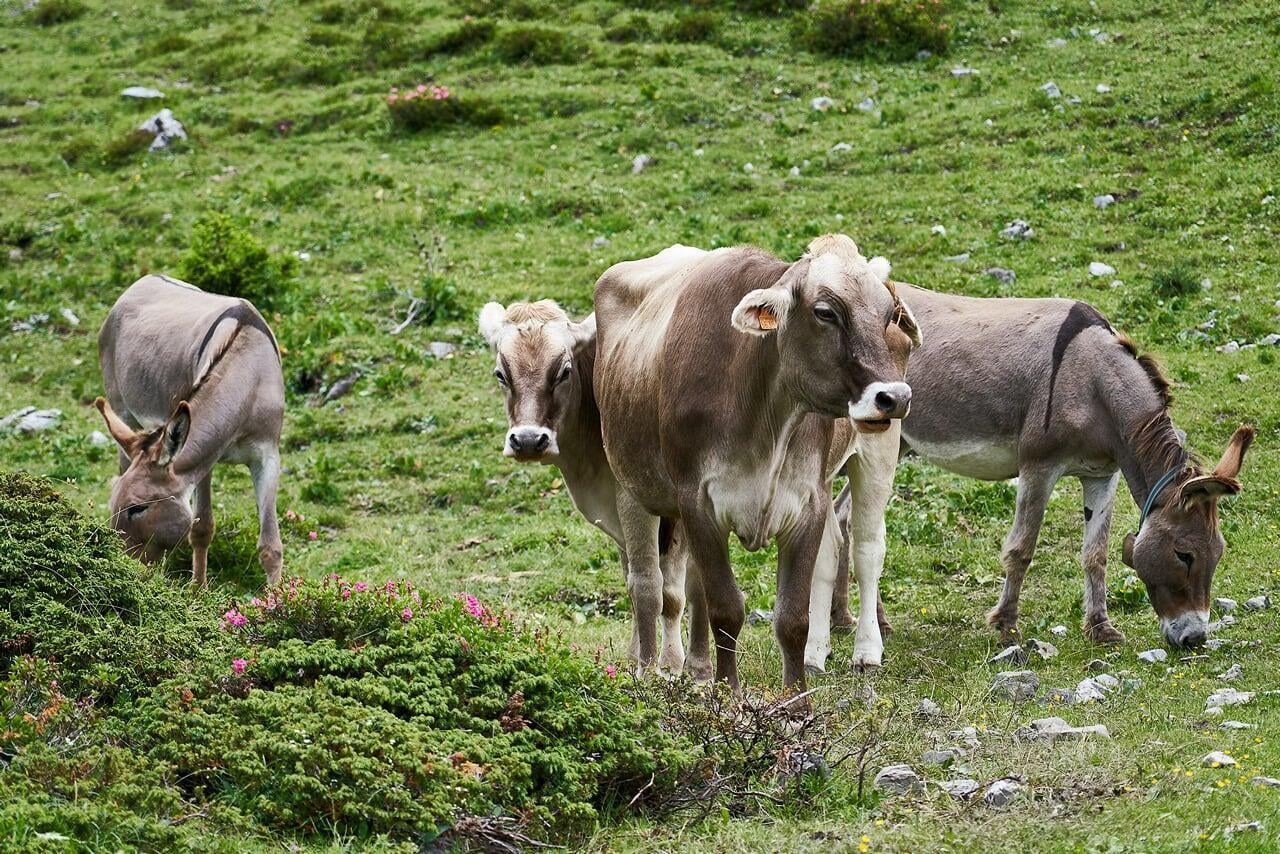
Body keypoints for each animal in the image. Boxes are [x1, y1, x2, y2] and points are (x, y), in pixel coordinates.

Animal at [95, 275, 285, 588]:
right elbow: (202, 528)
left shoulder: (267, 457)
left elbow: (270, 545)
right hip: (123, 414)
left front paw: (277, 598)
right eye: (114, 504)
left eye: (137, 508)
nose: (121, 570)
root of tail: (143, 280)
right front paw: (198, 591)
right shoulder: (204, 459)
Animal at [593, 235, 916, 701]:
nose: (893, 397)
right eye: (825, 312)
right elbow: (724, 607)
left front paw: (796, 701)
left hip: (877, 451)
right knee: (648, 582)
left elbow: (792, 615)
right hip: (632, 486)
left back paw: (865, 650)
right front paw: (727, 694)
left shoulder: (808, 500)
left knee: (866, 548)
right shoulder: (697, 503)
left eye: (888, 312)